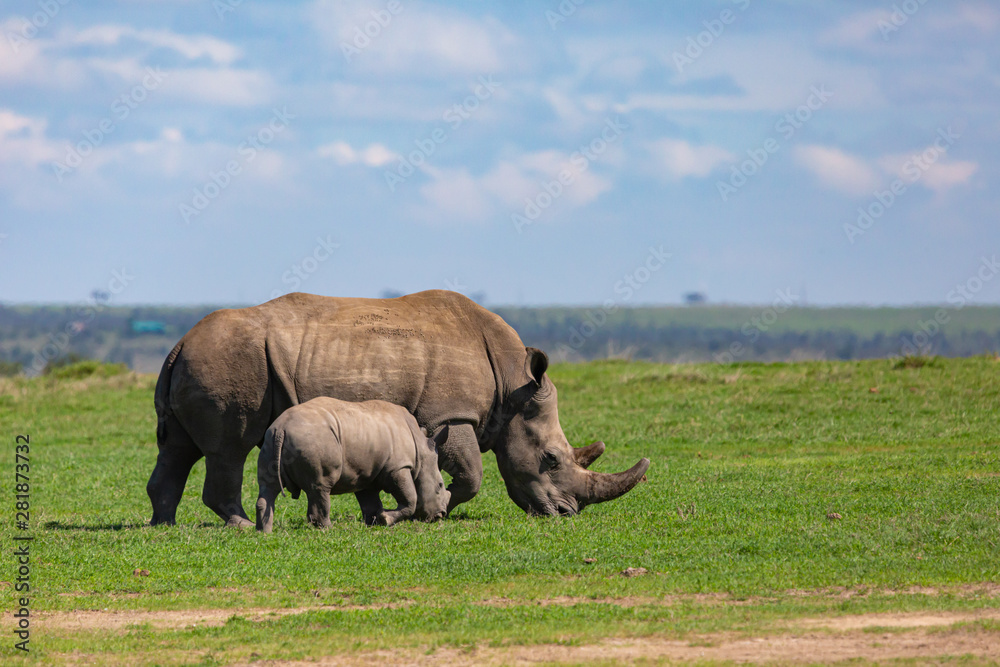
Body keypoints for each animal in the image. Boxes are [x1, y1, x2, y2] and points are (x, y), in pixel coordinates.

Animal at [255, 397, 450, 533]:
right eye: (440, 485)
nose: (440, 515)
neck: (421, 450)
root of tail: (282, 427)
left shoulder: (366, 474)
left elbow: (370, 502)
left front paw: (376, 522)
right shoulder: (398, 467)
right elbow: (411, 499)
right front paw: (386, 519)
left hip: (270, 440)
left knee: (269, 486)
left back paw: (264, 533)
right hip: (312, 440)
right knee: (320, 486)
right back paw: (328, 529)